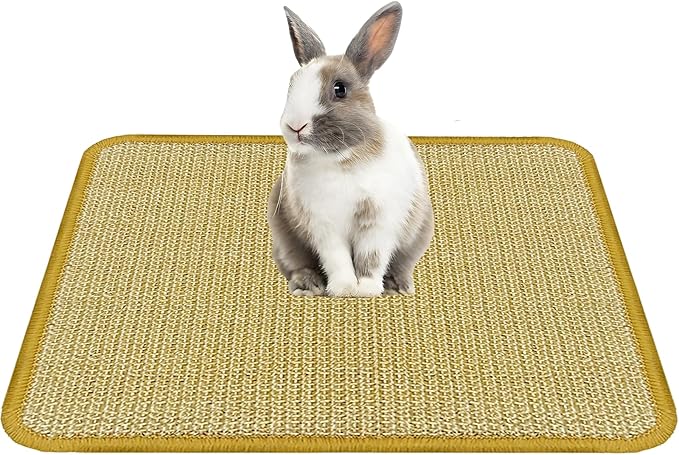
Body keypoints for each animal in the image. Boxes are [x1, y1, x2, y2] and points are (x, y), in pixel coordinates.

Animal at [267, 1, 433, 297]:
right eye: (291, 85)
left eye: (340, 89)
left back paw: (397, 287)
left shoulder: (378, 221)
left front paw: (366, 290)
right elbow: (337, 258)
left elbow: (371, 258)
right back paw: (308, 286)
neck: (341, 158)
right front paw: (344, 289)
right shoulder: (324, 225)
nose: (295, 126)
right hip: (285, 238)